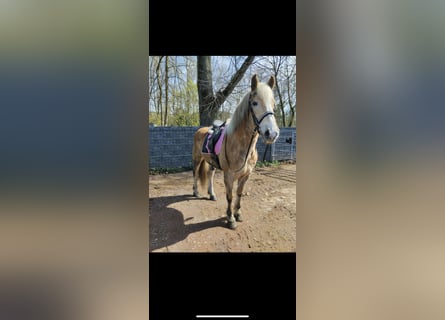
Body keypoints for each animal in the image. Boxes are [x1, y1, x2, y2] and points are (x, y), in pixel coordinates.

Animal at [193, 74, 280, 230]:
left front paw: (238, 214)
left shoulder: (245, 175)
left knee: (209, 175)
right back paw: (196, 192)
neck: (241, 145)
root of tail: (201, 130)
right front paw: (230, 218)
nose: (272, 134)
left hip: (212, 163)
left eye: (274, 104)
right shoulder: (228, 175)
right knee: (196, 174)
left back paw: (211, 194)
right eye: (255, 103)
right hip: (197, 159)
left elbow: (239, 194)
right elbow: (230, 196)